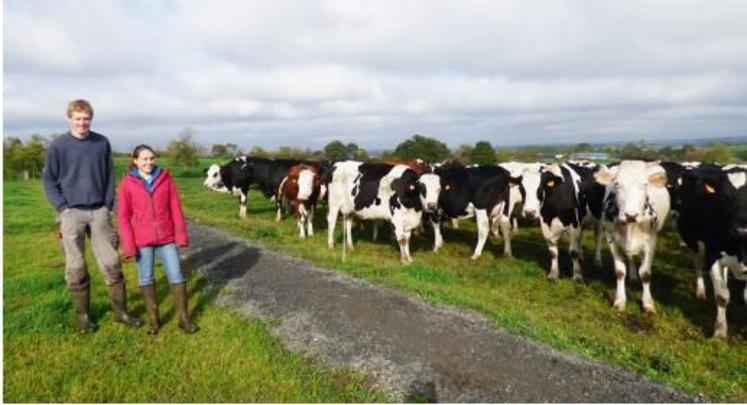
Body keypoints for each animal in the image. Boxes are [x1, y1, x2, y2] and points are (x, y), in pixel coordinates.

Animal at [596, 159, 672, 314]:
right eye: (617, 184)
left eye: (645, 184)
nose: (631, 215)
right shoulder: (612, 240)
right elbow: (619, 272)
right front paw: (619, 300)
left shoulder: (651, 242)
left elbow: (645, 273)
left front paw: (648, 303)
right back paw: (632, 276)